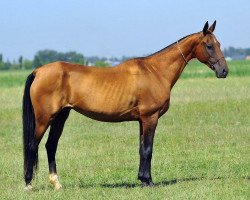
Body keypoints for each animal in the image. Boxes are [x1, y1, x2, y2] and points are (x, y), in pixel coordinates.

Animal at [22, 20, 228, 191]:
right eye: (209, 45)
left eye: (219, 44)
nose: (224, 71)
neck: (155, 71)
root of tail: (38, 71)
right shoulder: (150, 118)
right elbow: (148, 150)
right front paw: (149, 182)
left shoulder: (142, 120)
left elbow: (141, 149)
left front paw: (143, 179)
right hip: (44, 118)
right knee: (32, 146)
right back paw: (29, 185)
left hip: (61, 116)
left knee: (51, 145)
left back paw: (57, 184)